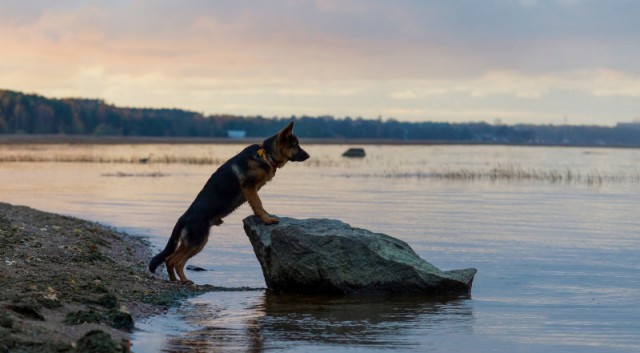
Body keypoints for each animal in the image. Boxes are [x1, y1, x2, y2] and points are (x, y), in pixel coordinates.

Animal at [150, 121, 310, 284]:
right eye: (295, 145)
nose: (308, 156)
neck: (266, 154)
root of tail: (184, 217)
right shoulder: (249, 187)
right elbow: (258, 204)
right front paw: (266, 220)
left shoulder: (253, 189)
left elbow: (258, 205)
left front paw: (266, 216)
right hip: (197, 241)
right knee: (176, 261)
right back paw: (185, 281)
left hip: (193, 242)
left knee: (169, 259)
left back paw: (174, 280)